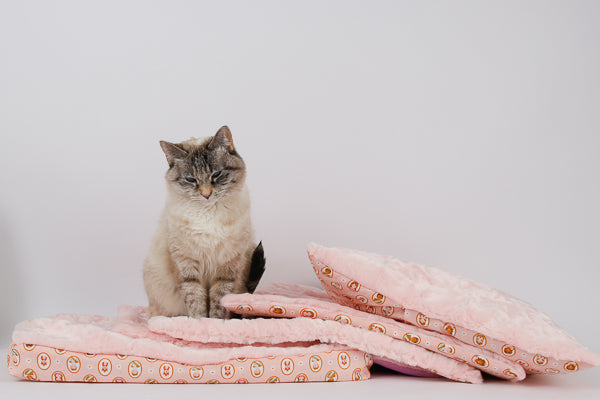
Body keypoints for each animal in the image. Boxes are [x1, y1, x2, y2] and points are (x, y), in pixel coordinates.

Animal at [143, 126, 264, 320]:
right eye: (191, 179)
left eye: (216, 174)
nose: (206, 194)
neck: (208, 215)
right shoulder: (187, 267)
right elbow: (196, 303)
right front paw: (198, 322)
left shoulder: (226, 267)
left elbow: (218, 302)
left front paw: (214, 323)